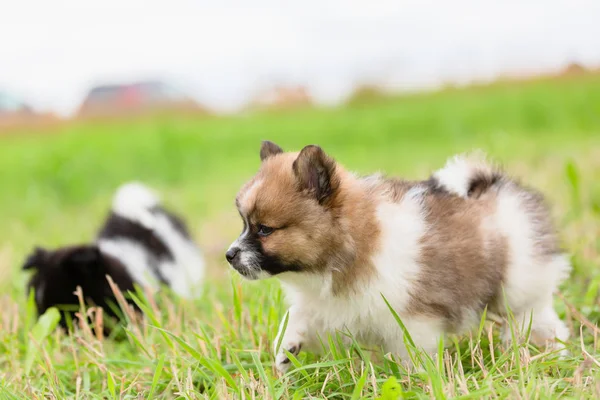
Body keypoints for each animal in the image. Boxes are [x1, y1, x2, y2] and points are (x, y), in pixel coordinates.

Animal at [226, 141, 572, 372]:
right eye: (244, 224)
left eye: (265, 229)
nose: (229, 255)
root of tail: (499, 187)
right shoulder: (330, 309)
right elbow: (296, 319)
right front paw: (287, 349)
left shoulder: (413, 321)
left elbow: (414, 355)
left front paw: (419, 381)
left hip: (518, 289)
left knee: (542, 321)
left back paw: (550, 354)